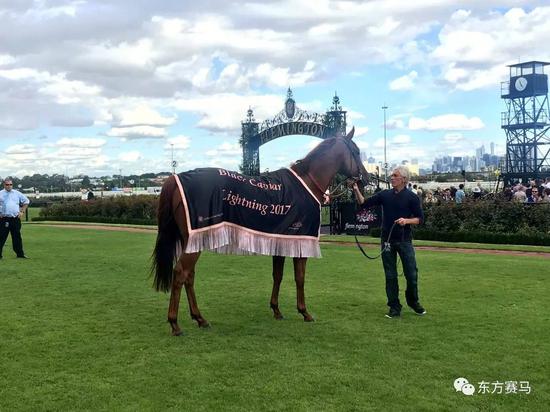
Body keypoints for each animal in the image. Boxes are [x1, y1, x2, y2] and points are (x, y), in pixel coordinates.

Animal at [153, 127, 374, 336]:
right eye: (356, 151)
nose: (366, 178)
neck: (307, 183)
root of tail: (176, 178)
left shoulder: (281, 240)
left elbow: (278, 275)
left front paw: (276, 310)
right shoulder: (301, 241)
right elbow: (300, 278)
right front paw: (304, 312)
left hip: (192, 241)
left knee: (189, 276)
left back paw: (200, 319)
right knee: (180, 273)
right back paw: (175, 324)